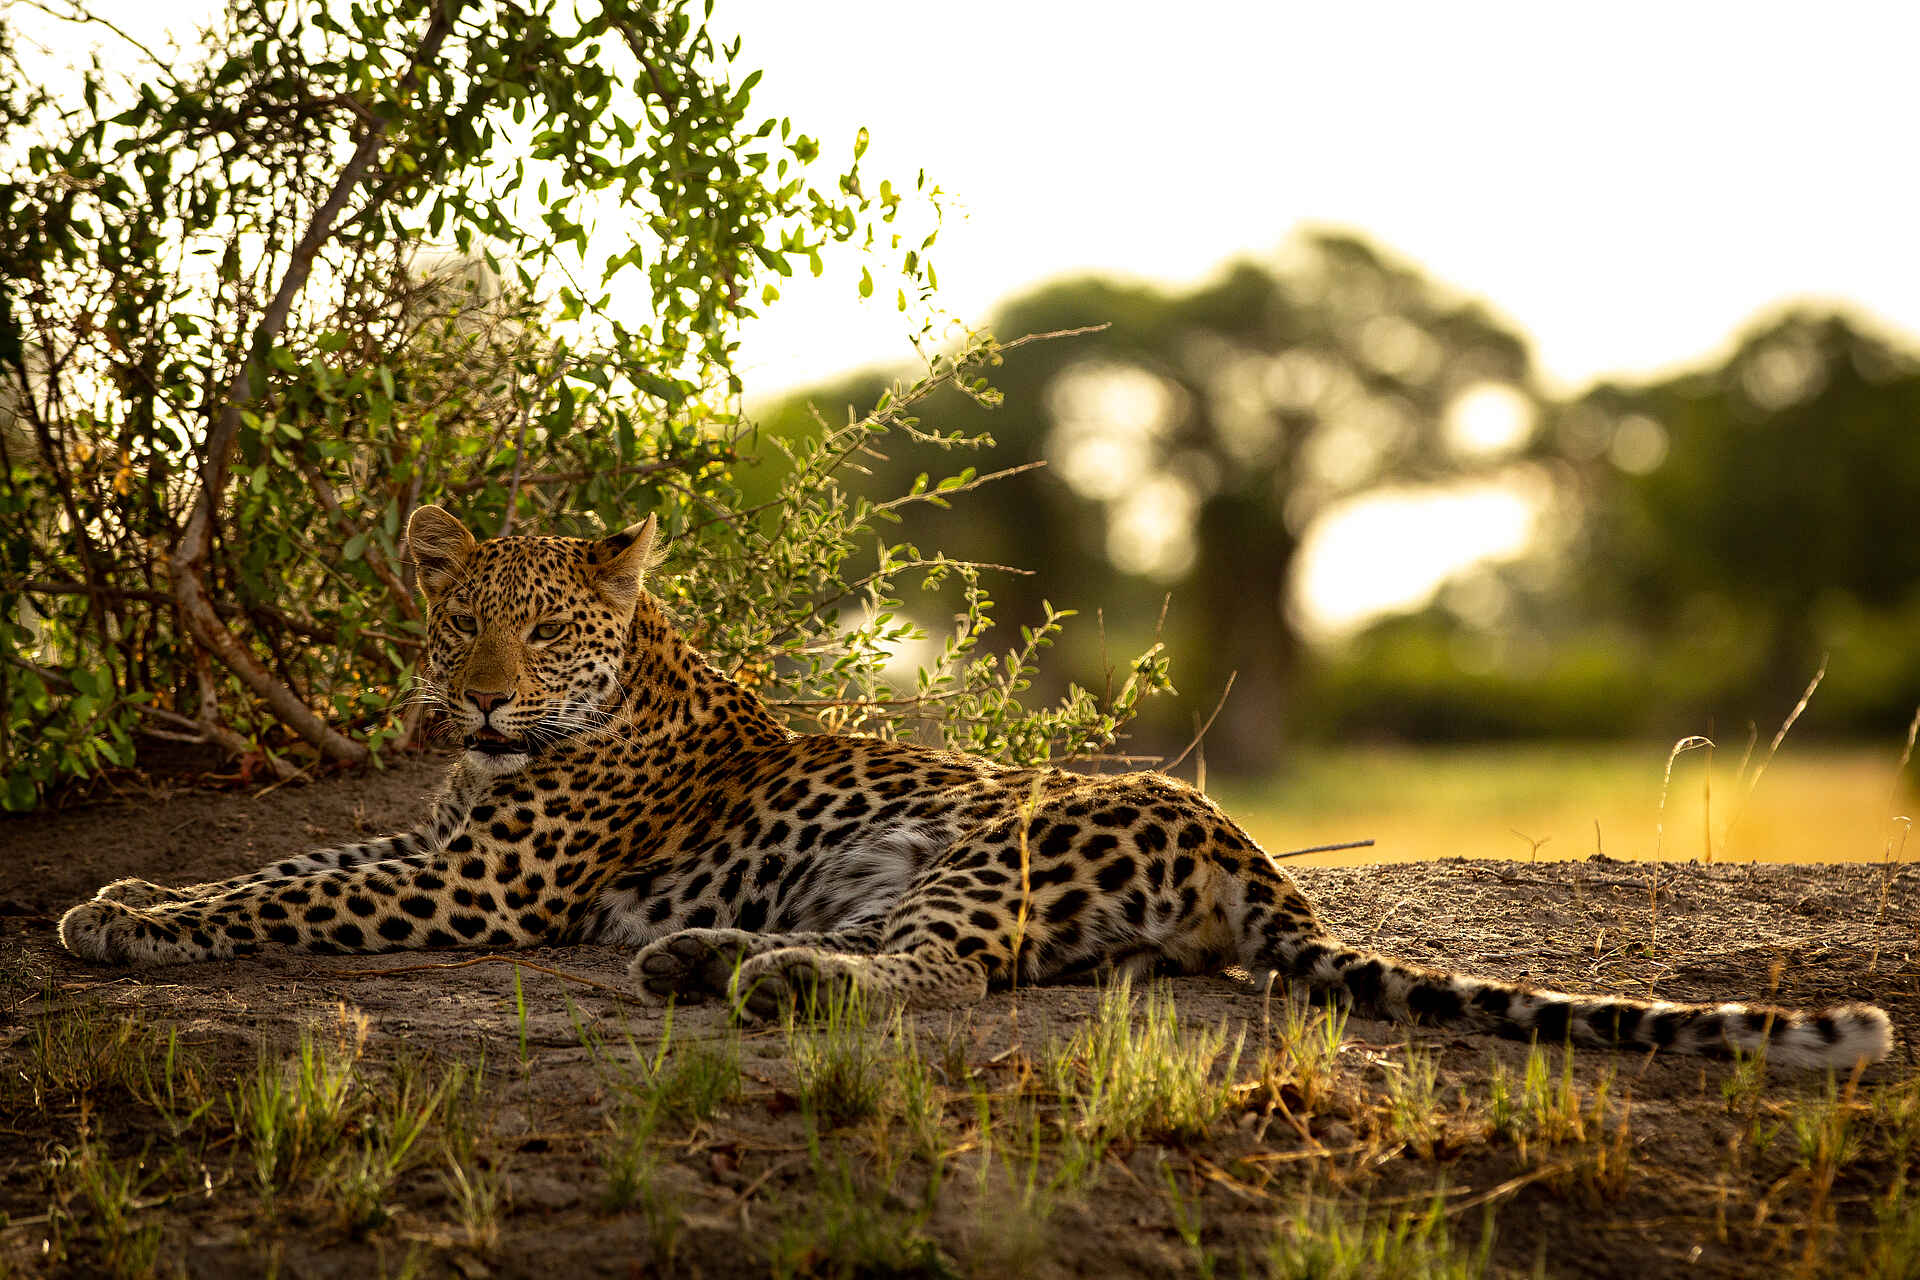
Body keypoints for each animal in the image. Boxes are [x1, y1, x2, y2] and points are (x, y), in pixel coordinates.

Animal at [58, 504, 1894, 1070]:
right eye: (458, 617)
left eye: (549, 626)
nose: (490, 691)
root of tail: (1254, 857)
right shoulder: (439, 838)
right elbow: (290, 863)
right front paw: (126, 893)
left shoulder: (480, 880)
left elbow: (287, 892)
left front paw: (130, 925)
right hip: (910, 864)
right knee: (934, 960)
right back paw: (703, 958)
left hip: (993, 833)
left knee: (951, 972)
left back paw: (770, 980)